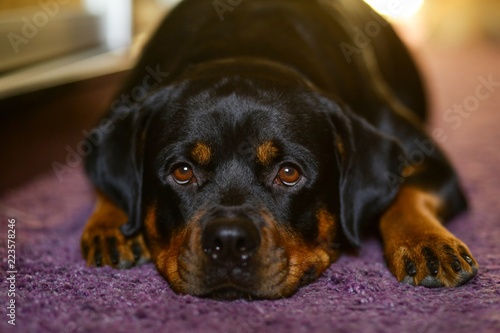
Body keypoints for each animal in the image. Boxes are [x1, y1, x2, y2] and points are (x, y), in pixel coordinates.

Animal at [80, 0, 478, 298]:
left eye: (289, 173)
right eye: (182, 171)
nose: (229, 241)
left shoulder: (426, 155)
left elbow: (408, 190)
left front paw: (425, 242)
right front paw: (110, 224)